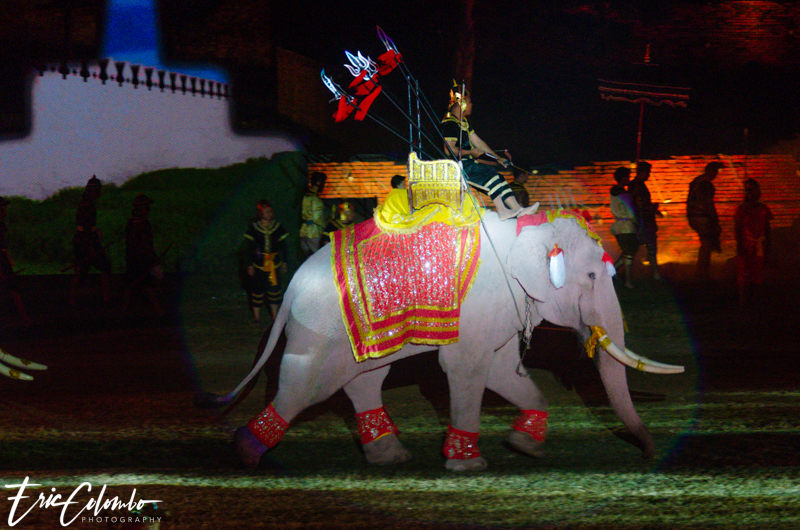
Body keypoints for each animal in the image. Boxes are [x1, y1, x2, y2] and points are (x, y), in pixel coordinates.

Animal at [220, 210, 683, 471]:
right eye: (590, 276)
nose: (647, 455)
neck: (530, 230)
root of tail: (290, 290)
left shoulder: (502, 308)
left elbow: (501, 370)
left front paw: (525, 446)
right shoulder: (481, 303)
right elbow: (467, 369)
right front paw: (469, 465)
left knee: (365, 380)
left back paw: (391, 456)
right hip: (319, 330)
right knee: (308, 386)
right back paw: (246, 453)